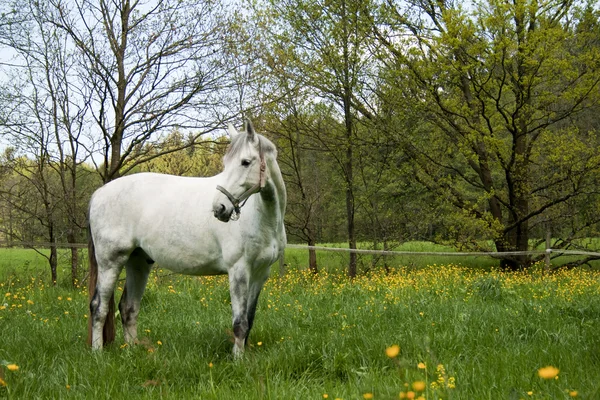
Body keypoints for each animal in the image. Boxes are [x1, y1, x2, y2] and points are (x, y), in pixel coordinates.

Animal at [85, 121, 288, 356]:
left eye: (245, 162)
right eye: (226, 163)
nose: (219, 208)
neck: (261, 217)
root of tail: (99, 193)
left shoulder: (260, 274)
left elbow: (250, 320)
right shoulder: (239, 270)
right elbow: (240, 323)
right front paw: (237, 359)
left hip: (138, 261)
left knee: (128, 308)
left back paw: (132, 352)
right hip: (110, 262)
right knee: (99, 307)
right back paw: (97, 353)